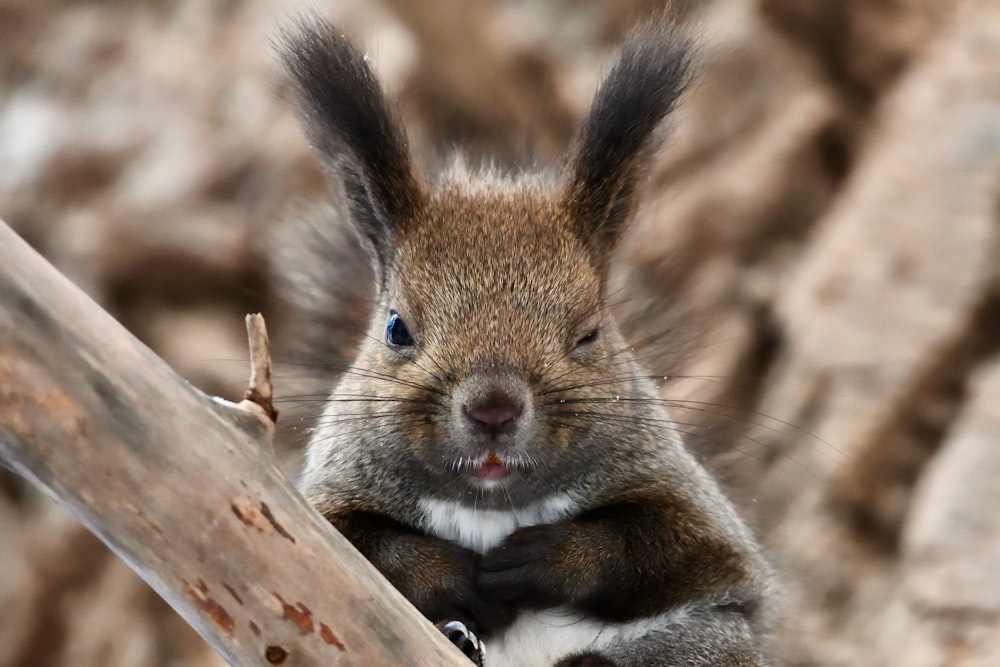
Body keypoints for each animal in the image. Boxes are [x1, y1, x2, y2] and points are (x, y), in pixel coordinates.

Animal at [278, 15, 776, 667]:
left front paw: (543, 560)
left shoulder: (701, 522)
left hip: (715, 642)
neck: (493, 504)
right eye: (396, 328)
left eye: (589, 333)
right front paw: (454, 576)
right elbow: (369, 546)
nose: (493, 410)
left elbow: (660, 546)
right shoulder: (320, 509)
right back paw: (461, 640)